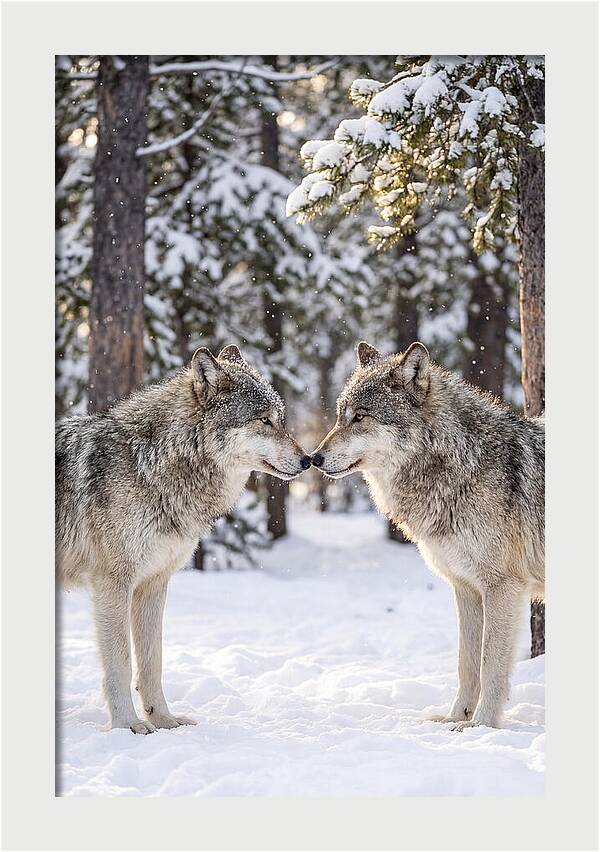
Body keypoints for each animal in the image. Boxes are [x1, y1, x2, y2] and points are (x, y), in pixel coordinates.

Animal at [56, 344, 311, 733]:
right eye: (264, 420)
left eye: (281, 420)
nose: (309, 459)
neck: (152, 464)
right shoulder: (113, 584)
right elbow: (121, 661)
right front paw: (127, 725)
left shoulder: (154, 583)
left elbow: (152, 661)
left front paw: (163, 719)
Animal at [312, 341, 544, 730]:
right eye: (341, 416)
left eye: (360, 417)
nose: (313, 458)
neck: (462, 464)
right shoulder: (465, 588)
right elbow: (467, 663)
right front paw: (455, 718)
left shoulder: (503, 587)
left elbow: (490, 665)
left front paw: (481, 725)